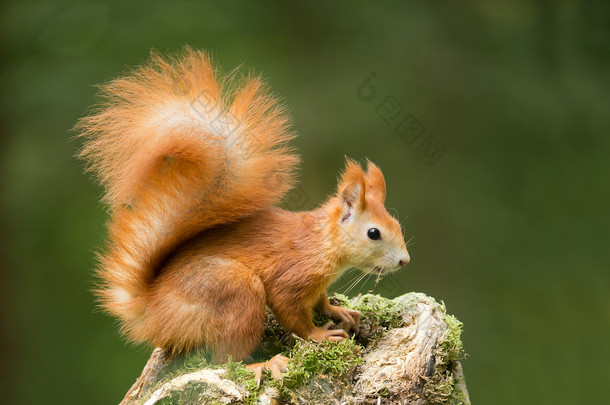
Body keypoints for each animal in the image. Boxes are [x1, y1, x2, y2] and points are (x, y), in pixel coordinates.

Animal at [76, 49, 408, 378]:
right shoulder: (292, 275)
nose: (405, 261)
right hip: (236, 292)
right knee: (225, 360)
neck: (322, 242)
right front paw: (320, 334)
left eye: (397, 224)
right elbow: (292, 315)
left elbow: (321, 300)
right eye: (374, 233)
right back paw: (265, 364)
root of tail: (152, 315)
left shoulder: (317, 284)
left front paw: (338, 311)